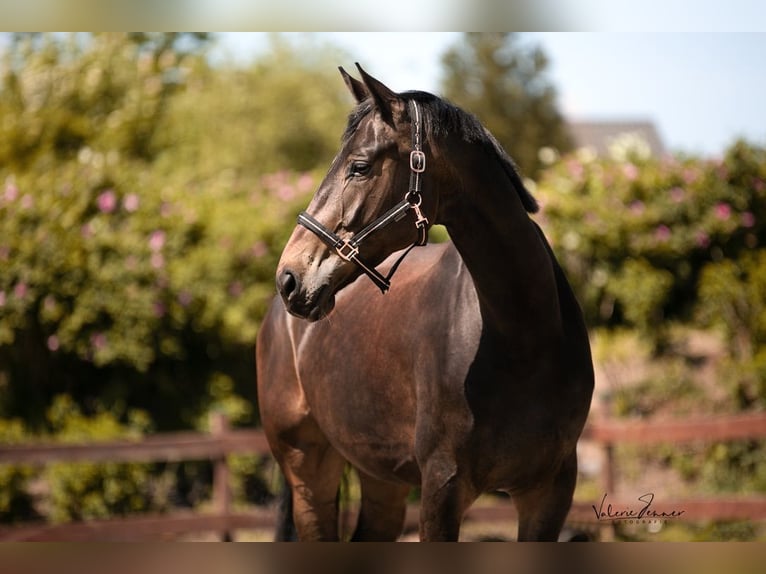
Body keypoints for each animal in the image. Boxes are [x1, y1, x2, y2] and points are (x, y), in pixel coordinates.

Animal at [255, 65, 596, 544]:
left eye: (360, 167)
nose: (289, 277)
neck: (525, 339)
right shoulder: (442, 488)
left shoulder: (549, 495)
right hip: (307, 469)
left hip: (382, 477)